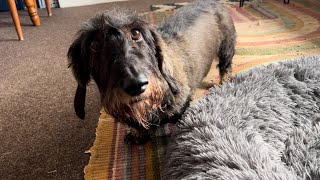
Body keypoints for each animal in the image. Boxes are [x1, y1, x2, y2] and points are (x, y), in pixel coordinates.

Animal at [68, 0, 235, 143]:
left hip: (227, 48)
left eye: (136, 33)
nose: (136, 85)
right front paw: (137, 134)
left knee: (225, 66)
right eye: (94, 45)